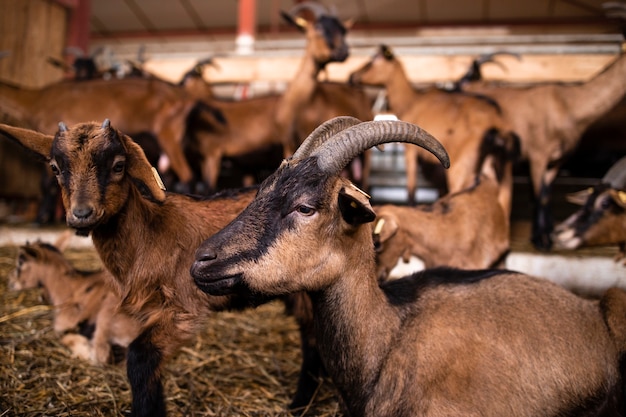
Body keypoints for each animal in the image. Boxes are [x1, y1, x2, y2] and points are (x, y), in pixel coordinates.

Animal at [0, 118, 322, 414]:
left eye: (118, 166)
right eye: (55, 168)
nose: (81, 214)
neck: (149, 234)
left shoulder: (184, 310)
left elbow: (139, 359)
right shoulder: (145, 312)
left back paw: (300, 404)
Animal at [348, 44, 516, 206]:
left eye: (374, 58)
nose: (351, 76)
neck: (413, 100)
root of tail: (496, 122)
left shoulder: (410, 152)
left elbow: (411, 191)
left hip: (461, 170)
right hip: (503, 174)